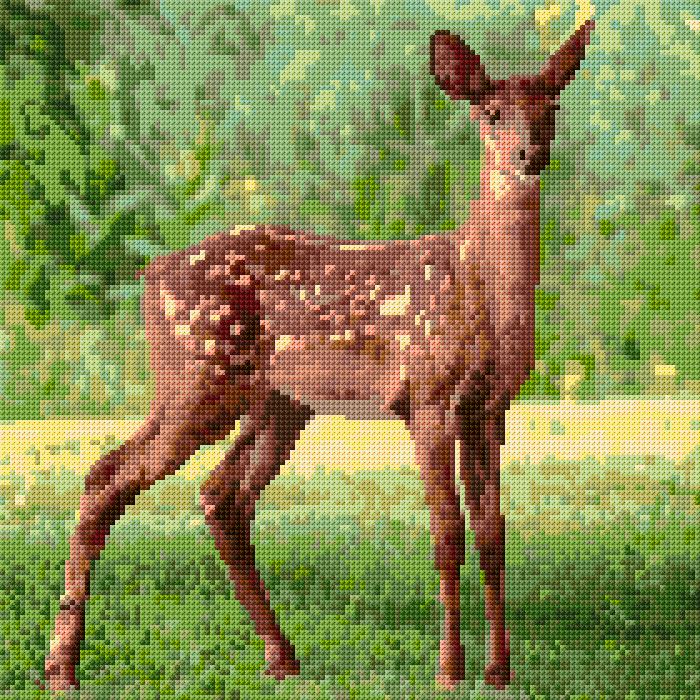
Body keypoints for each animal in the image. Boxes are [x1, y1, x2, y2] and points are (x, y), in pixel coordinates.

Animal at [44, 20, 594, 692]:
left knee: (220, 497)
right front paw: (448, 670)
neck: (478, 285)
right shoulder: (428, 395)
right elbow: (447, 532)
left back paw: (281, 657)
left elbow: (493, 533)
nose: (529, 156)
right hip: (198, 377)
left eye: (551, 108)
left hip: (277, 403)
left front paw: (499, 671)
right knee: (107, 475)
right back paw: (62, 668)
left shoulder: (491, 407)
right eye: (490, 113)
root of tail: (148, 275)